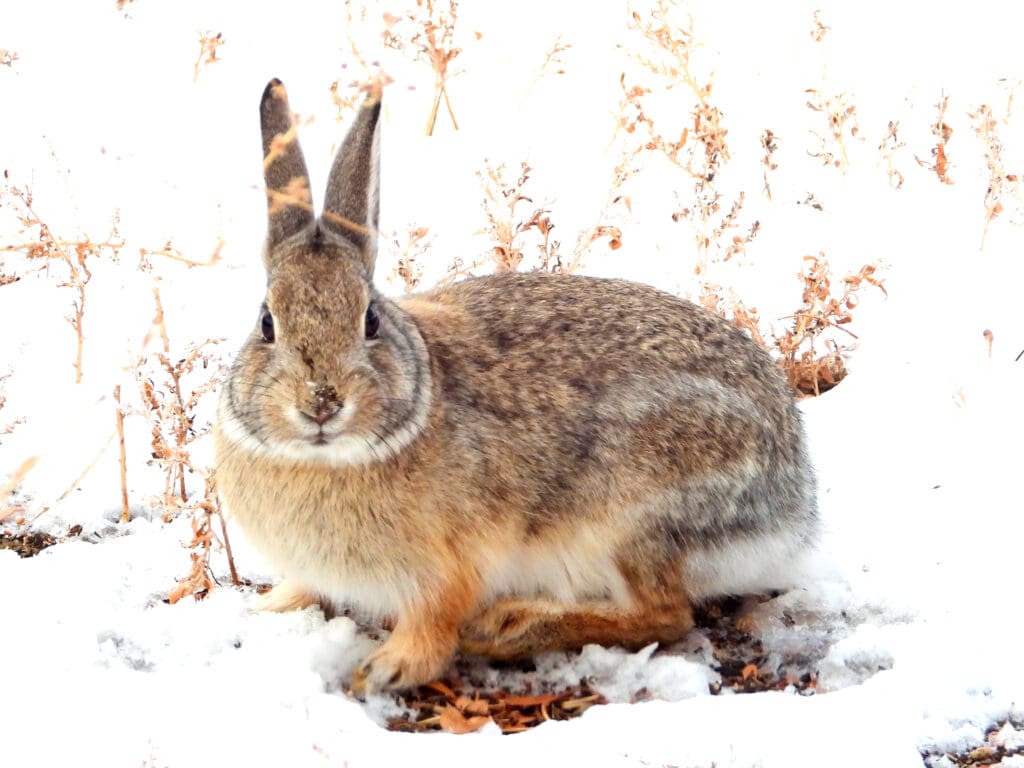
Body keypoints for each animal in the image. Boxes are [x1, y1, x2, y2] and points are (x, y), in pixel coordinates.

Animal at [214, 78, 815, 696]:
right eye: (267, 324)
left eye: (370, 321)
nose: (321, 403)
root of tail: (794, 504)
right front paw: (271, 607)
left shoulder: (450, 568)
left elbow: (434, 624)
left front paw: (388, 669)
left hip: (632, 521)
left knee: (666, 615)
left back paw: (510, 626)